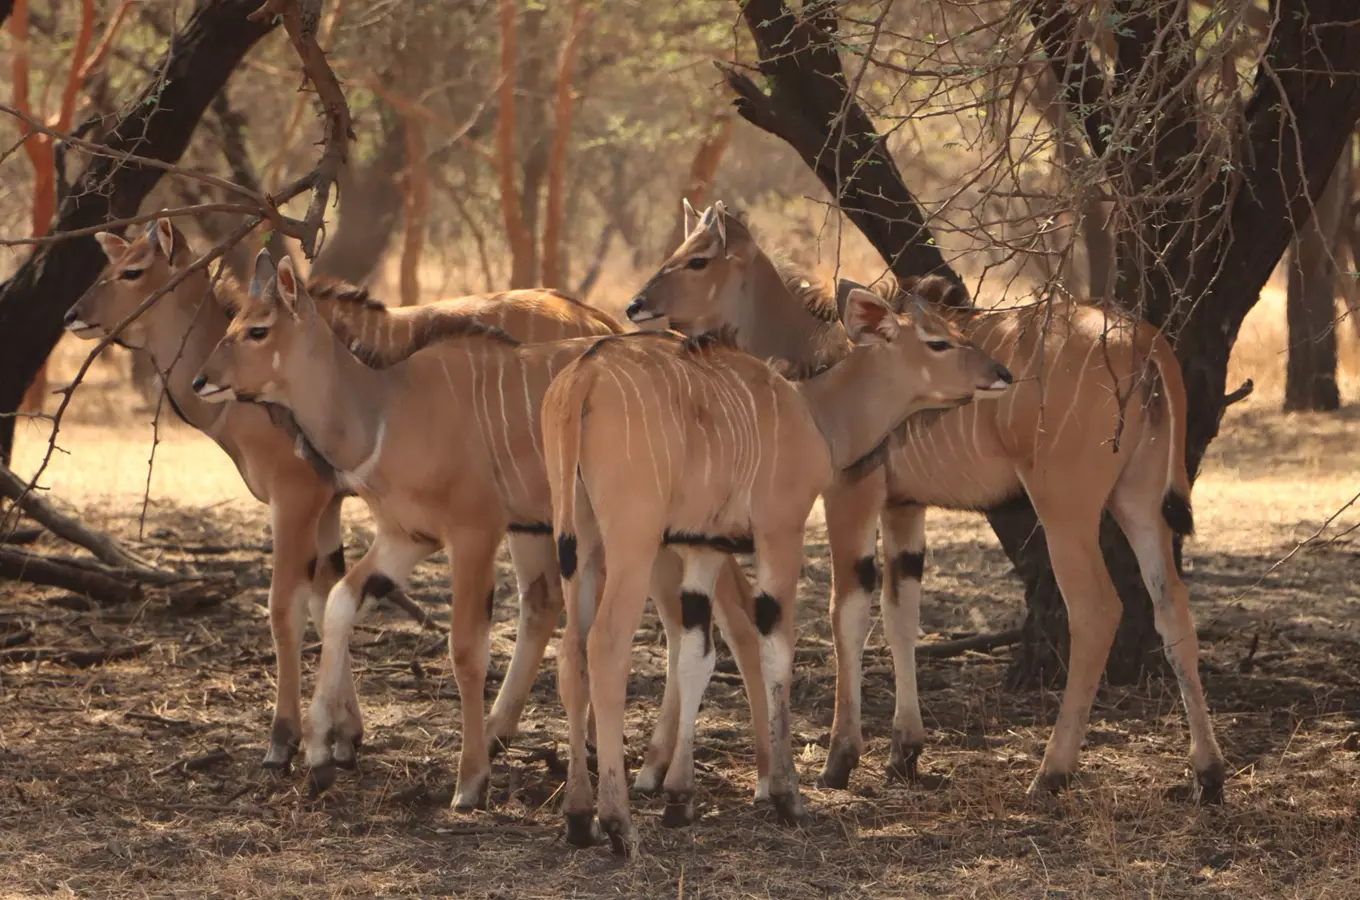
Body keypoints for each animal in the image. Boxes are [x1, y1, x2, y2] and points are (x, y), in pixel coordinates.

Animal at [63, 220, 617, 783]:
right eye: (112, 263)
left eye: (133, 271)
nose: (72, 315)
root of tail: (596, 319)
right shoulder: (331, 507)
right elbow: (327, 594)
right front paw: (344, 736)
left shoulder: (297, 497)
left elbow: (285, 607)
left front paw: (285, 740)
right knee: (552, 600)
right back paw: (522, 736)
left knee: (561, 600)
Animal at [541, 289, 1011, 859]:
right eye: (937, 342)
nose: (1002, 373)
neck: (811, 411)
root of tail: (584, 379)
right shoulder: (779, 534)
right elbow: (776, 651)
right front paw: (787, 794)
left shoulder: (706, 547)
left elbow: (697, 656)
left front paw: (680, 798)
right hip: (633, 542)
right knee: (605, 646)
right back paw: (618, 823)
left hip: (579, 544)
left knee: (571, 651)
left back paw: (578, 817)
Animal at [625, 202, 1234, 804]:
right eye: (678, 251)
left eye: (698, 260)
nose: (636, 306)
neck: (824, 356)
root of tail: (1145, 342)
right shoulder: (904, 508)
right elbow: (901, 614)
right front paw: (904, 752)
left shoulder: (851, 492)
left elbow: (846, 612)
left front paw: (840, 760)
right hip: (1139, 502)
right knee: (1172, 605)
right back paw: (1207, 773)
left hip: (1066, 505)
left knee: (1096, 609)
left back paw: (1051, 772)